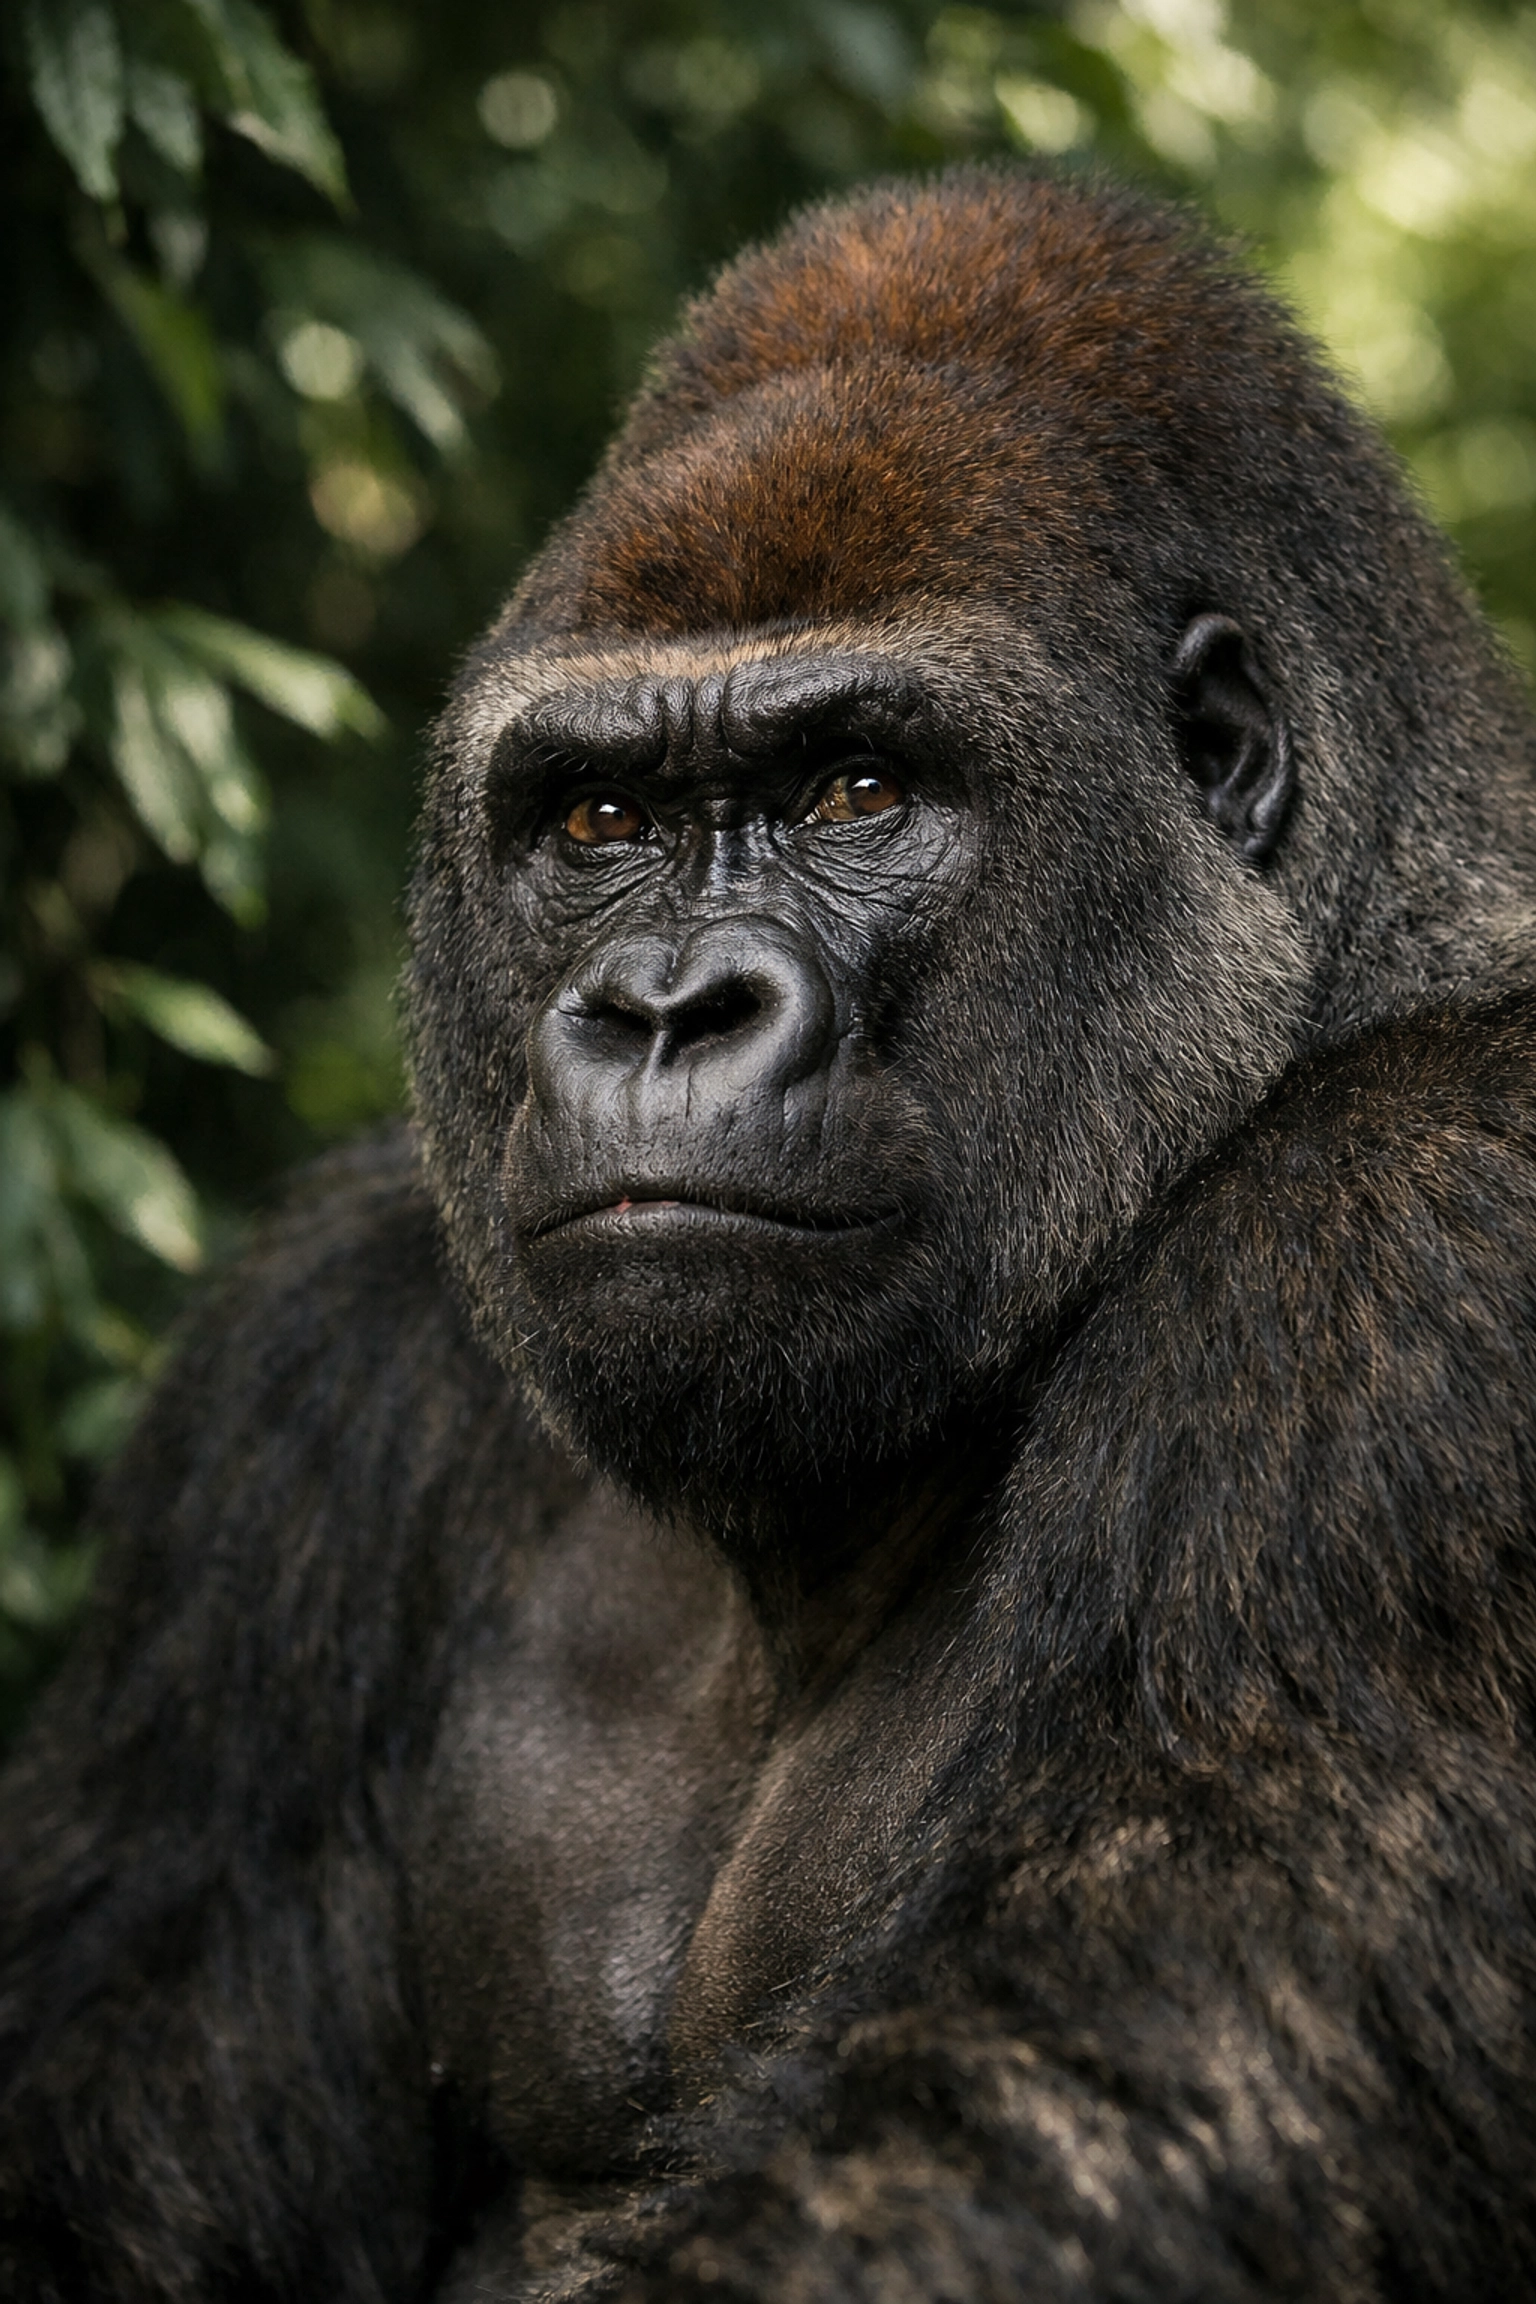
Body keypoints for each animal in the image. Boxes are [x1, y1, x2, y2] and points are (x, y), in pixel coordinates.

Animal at [5, 163, 1536, 2302]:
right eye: (595, 821)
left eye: (856, 789)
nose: (665, 1008)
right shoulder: (307, 1386)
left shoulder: (1420, 1259)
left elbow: (1074, 2110)